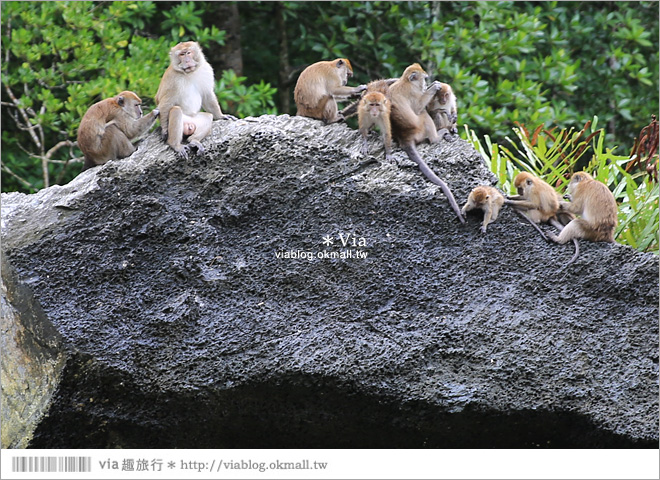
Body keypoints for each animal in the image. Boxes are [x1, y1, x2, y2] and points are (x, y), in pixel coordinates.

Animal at [386, 61, 464, 223]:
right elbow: (418, 107)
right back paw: (438, 136)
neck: (405, 81)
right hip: (421, 126)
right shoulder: (414, 92)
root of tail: (405, 137)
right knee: (423, 113)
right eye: (424, 79)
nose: (426, 84)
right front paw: (434, 87)